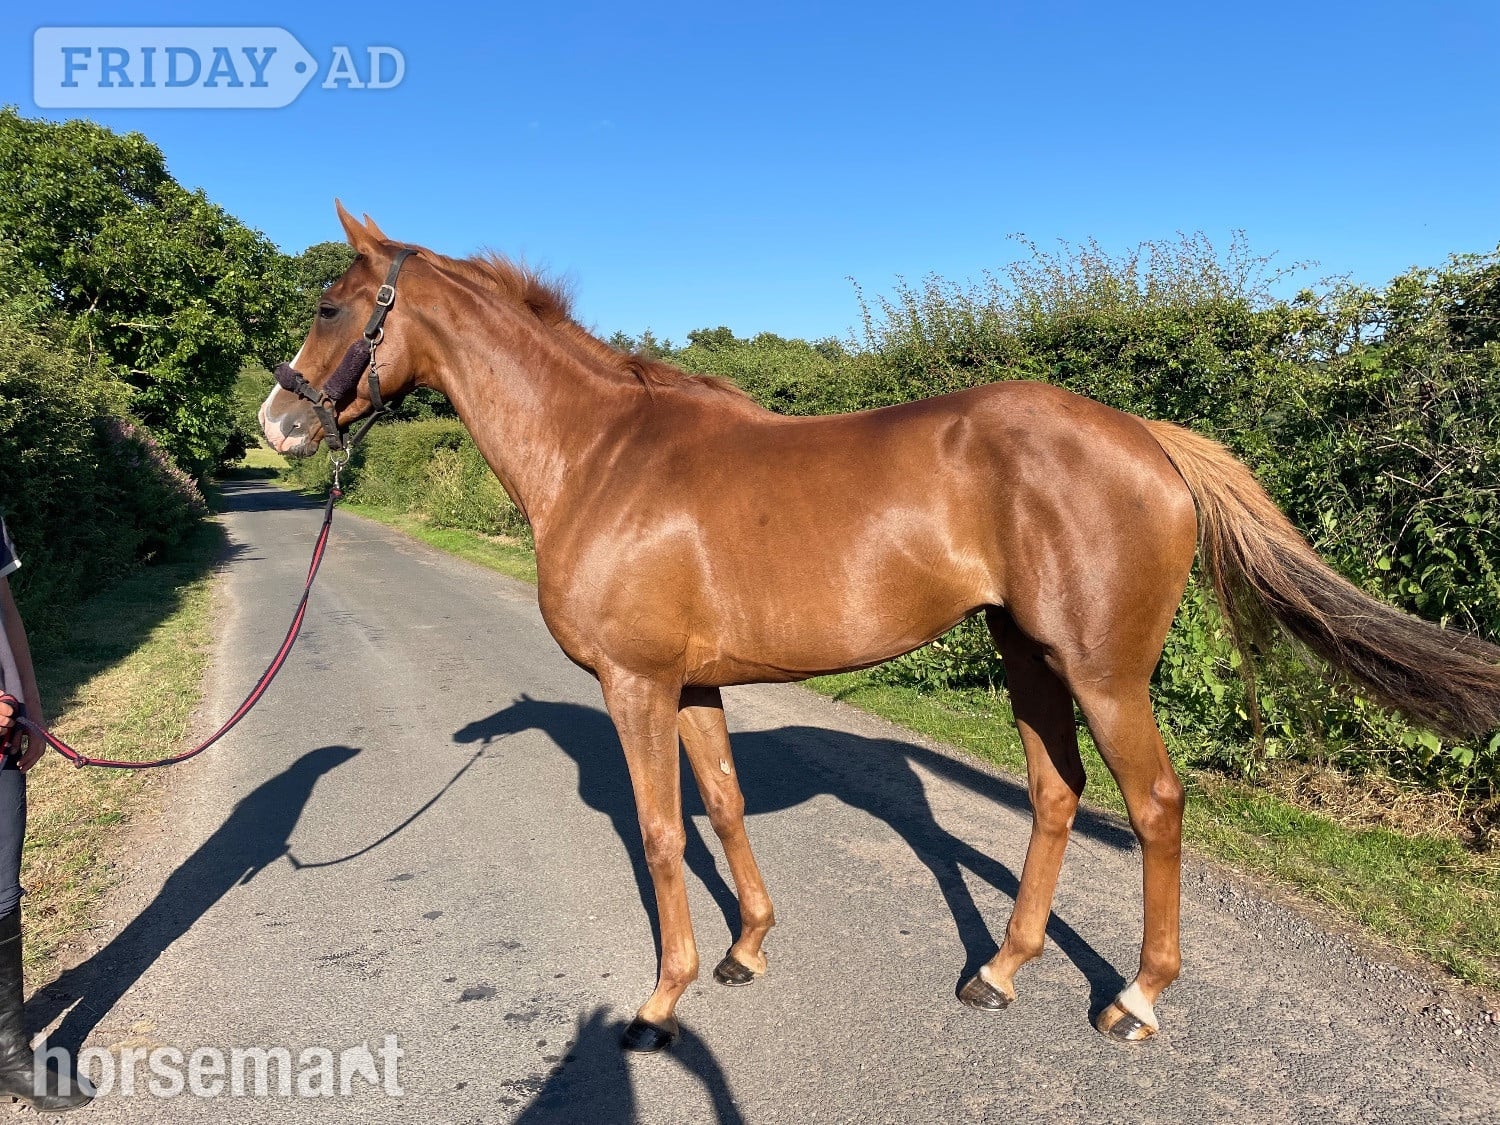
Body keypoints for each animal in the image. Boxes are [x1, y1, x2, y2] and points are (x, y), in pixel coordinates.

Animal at [260, 203, 1500, 1052]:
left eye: (330, 307)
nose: (277, 422)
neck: (602, 456)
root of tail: (1147, 437)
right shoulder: (694, 685)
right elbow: (723, 808)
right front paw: (747, 950)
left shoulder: (637, 684)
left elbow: (660, 835)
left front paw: (661, 1002)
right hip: (1025, 655)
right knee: (1057, 797)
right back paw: (999, 971)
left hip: (1103, 673)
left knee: (1155, 805)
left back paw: (1135, 998)